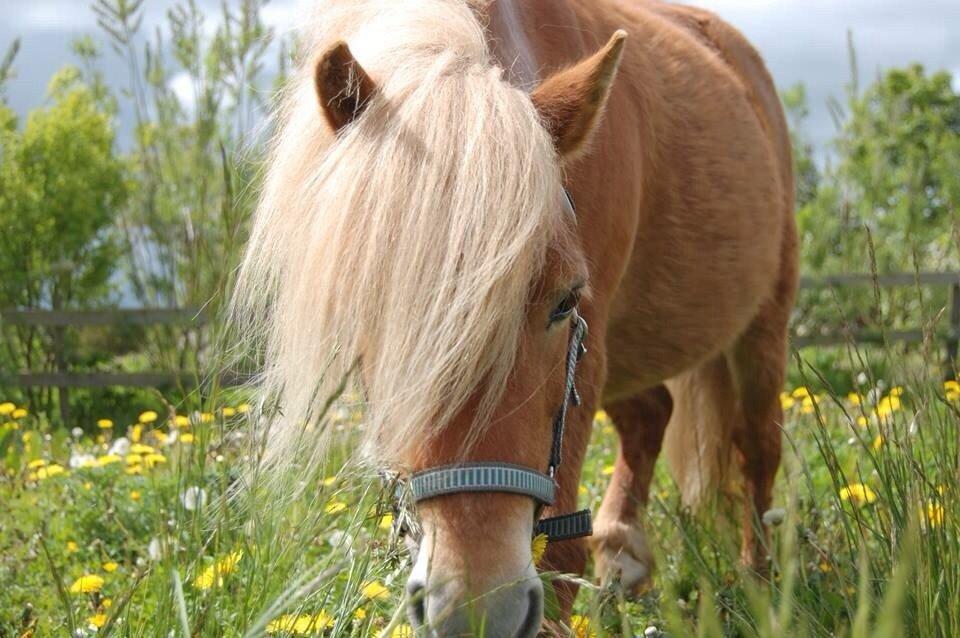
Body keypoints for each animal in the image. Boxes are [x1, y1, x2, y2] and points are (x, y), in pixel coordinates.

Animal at [236, 0, 800, 636]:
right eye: (369, 308)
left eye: (564, 301)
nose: (479, 607)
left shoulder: (586, 343)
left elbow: (559, 554)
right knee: (651, 417)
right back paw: (623, 556)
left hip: (761, 326)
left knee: (757, 448)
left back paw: (759, 586)